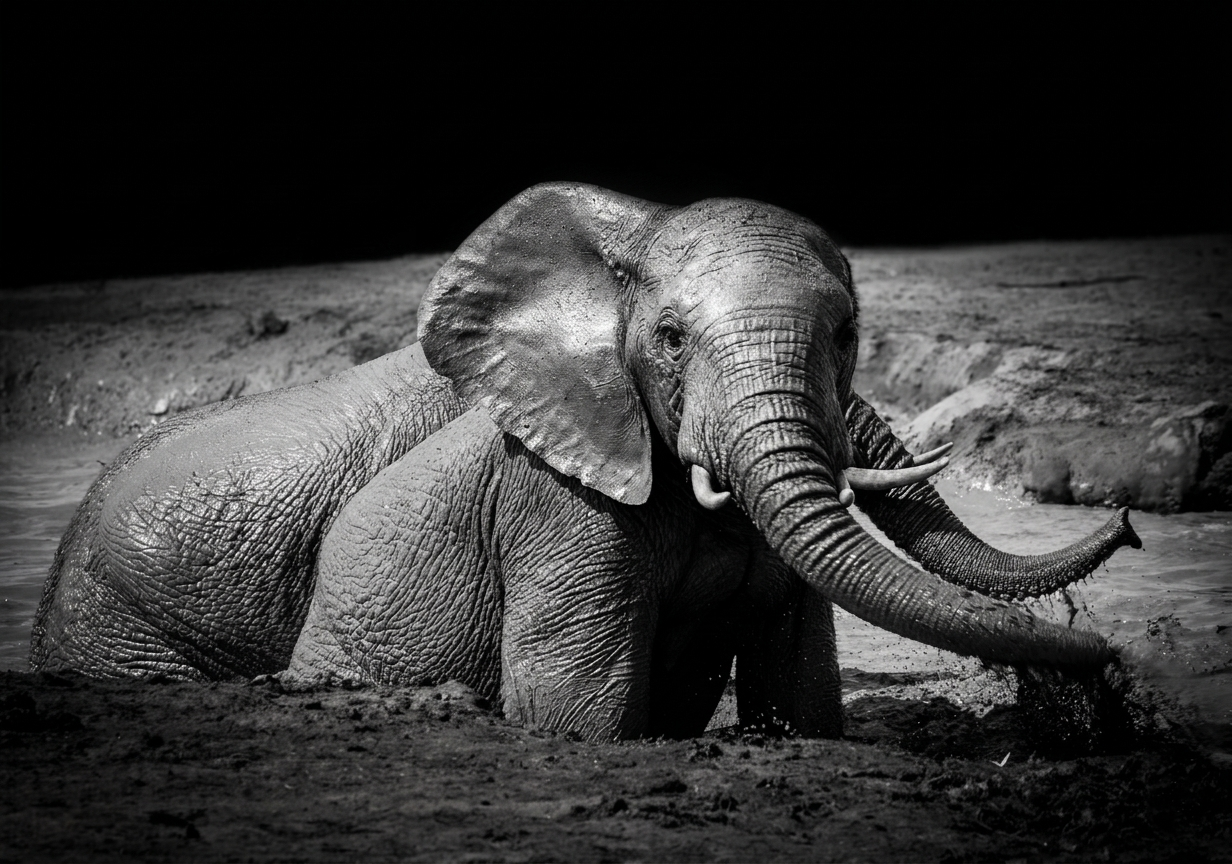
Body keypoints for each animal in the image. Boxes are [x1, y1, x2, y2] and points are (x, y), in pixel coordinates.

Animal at [30, 182, 1142, 741]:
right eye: (670, 341)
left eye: (847, 336)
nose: (1128, 521)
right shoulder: (557, 493)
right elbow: (580, 714)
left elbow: (802, 697)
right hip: (126, 634)